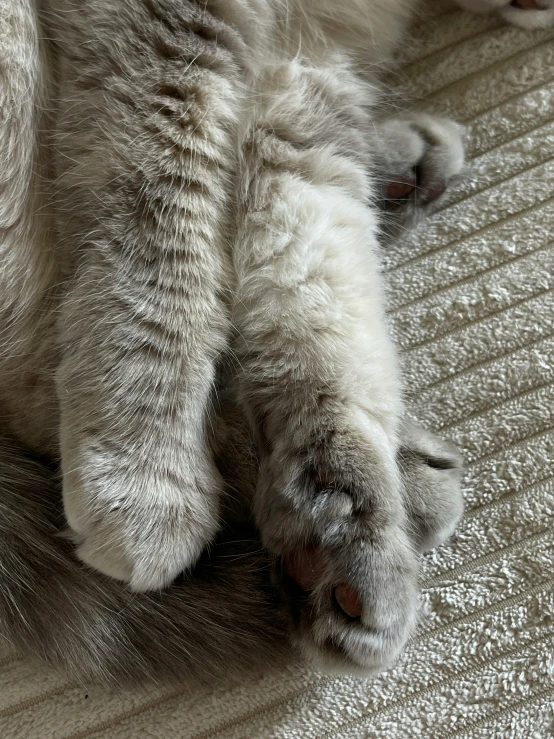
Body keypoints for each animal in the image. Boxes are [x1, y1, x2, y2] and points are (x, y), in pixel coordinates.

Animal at [0, 0, 544, 684]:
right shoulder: (173, 38)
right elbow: (164, 229)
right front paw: (146, 475)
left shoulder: (300, 96)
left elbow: (316, 325)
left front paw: (336, 510)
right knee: (33, 381)